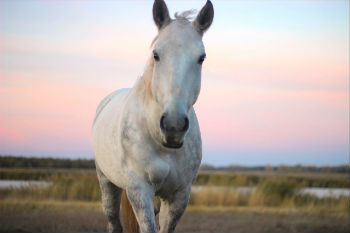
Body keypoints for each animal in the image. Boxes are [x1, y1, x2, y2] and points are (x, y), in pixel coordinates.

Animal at [92, 0, 213, 232]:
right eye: (156, 55)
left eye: (201, 58)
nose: (174, 126)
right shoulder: (139, 190)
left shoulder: (178, 197)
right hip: (107, 183)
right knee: (113, 221)